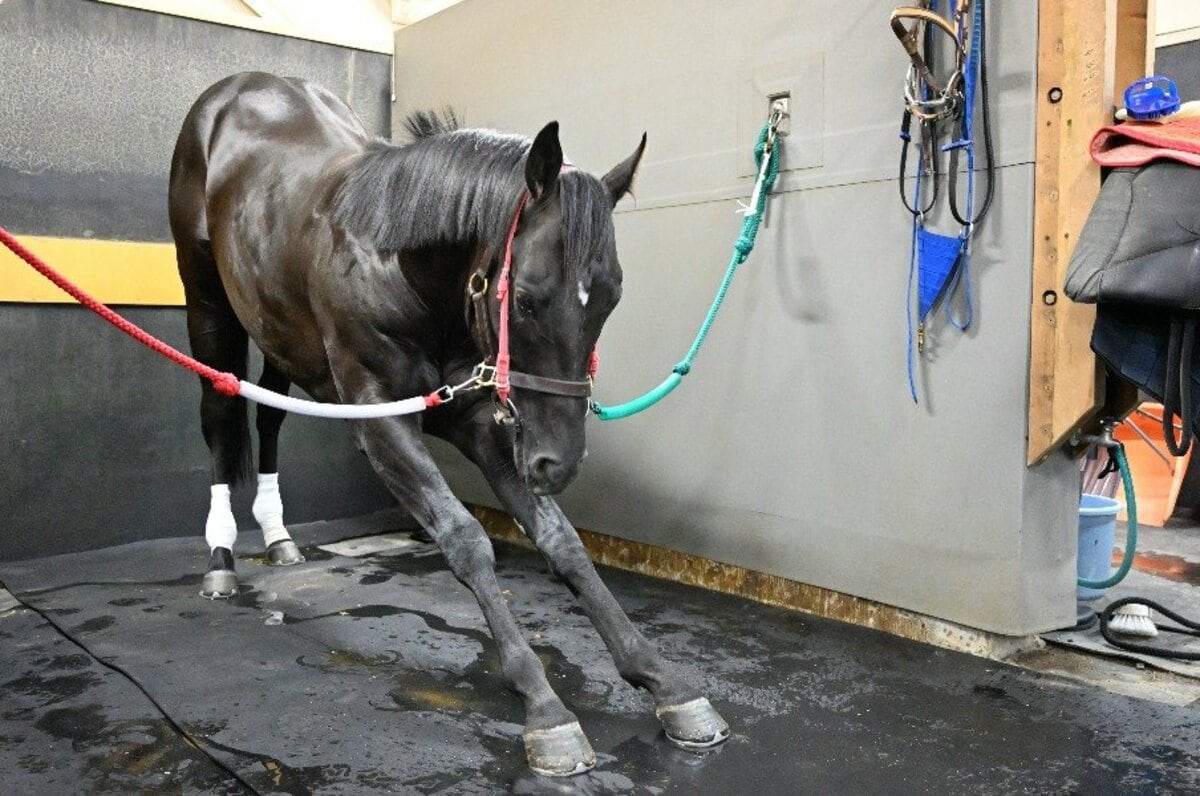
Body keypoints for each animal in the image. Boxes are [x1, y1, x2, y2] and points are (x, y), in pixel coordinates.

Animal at [166, 74, 729, 777]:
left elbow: (563, 542)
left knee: (268, 413)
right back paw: (220, 557)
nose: (560, 463)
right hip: (207, 301)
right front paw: (545, 707)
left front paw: (663, 681)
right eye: (527, 298)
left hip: (276, 329)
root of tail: (236, 91)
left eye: (612, 297)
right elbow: (465, 539)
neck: (399, 268)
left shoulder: (480, 421)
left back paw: (278, 536)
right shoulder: (379, 418)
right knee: (219, 412)